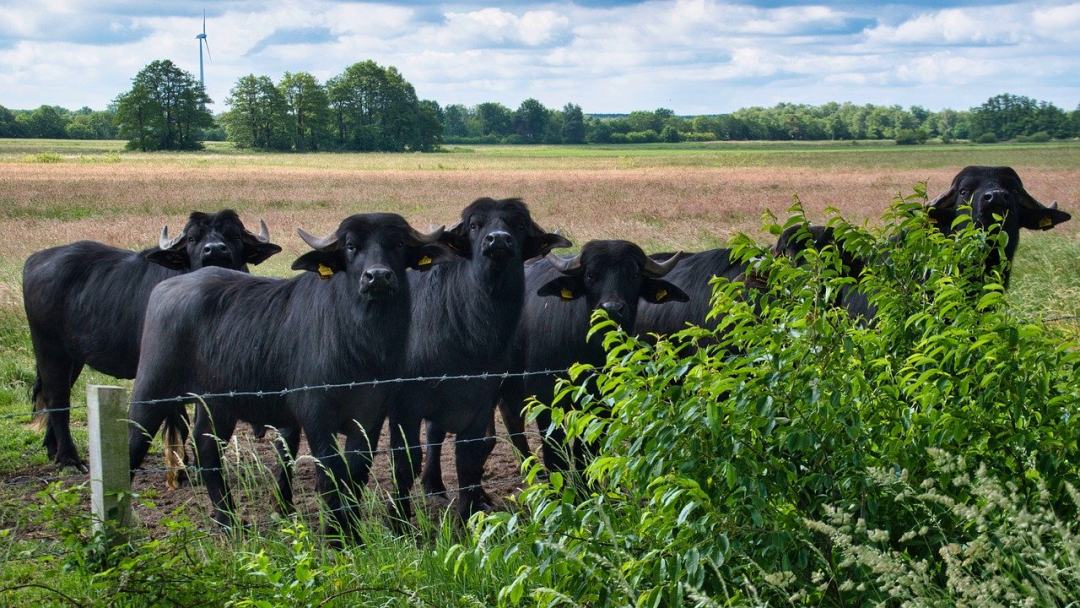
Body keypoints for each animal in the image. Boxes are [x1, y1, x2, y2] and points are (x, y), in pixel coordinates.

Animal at [23, 210, 282, 470]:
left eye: (234, 235)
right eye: (192, 238)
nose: (215, 250)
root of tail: (35, 260)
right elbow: (179, 420)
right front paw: (181, 463)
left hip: (73, 358)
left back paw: (53, 449)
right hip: (49, 349)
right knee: (57, 397)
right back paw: (68, 458)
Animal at [126, 213, 455, 537]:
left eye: (398, 244)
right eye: (351, 246)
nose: (377, 276)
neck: (363, 343)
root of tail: (167, 289)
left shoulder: (371, 416)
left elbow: (355, 473)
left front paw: (351, 529)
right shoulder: (314, 413)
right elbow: (329, 473)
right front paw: (336, 535)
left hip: (218, 403)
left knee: (207, 448)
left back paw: (228, 520)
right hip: (152, 389)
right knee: (134, 444)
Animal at [390, 197, 574, 520]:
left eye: (519, 224)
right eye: (475, 225)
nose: (497, 240)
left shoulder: (480, 400)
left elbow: (472, 455)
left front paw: (470, 510)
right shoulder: (406, 406)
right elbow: (406, 460)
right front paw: (399, 518)